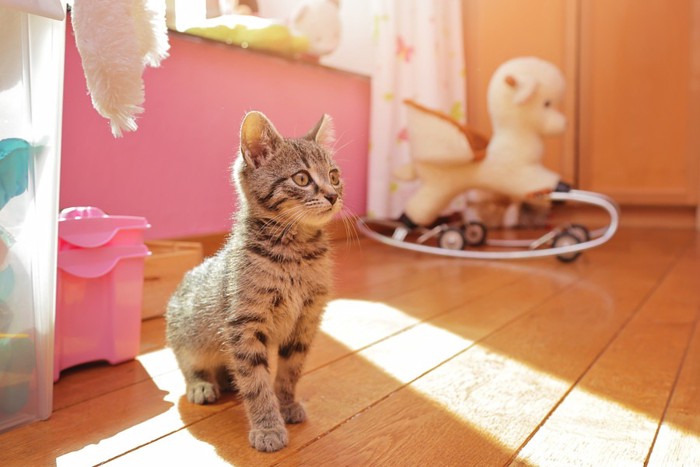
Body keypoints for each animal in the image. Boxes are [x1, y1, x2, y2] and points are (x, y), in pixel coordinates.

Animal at [170, 110, 344, 454]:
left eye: (333, 176)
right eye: (302, 179)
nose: (333, 196)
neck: (296, 254)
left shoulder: (306, 321)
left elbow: (290, 371)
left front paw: (285, 404)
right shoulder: (244, 325)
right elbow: (256, 382)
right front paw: (267, 426)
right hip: (188, 332)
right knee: (188, 361)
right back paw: (201, 384)